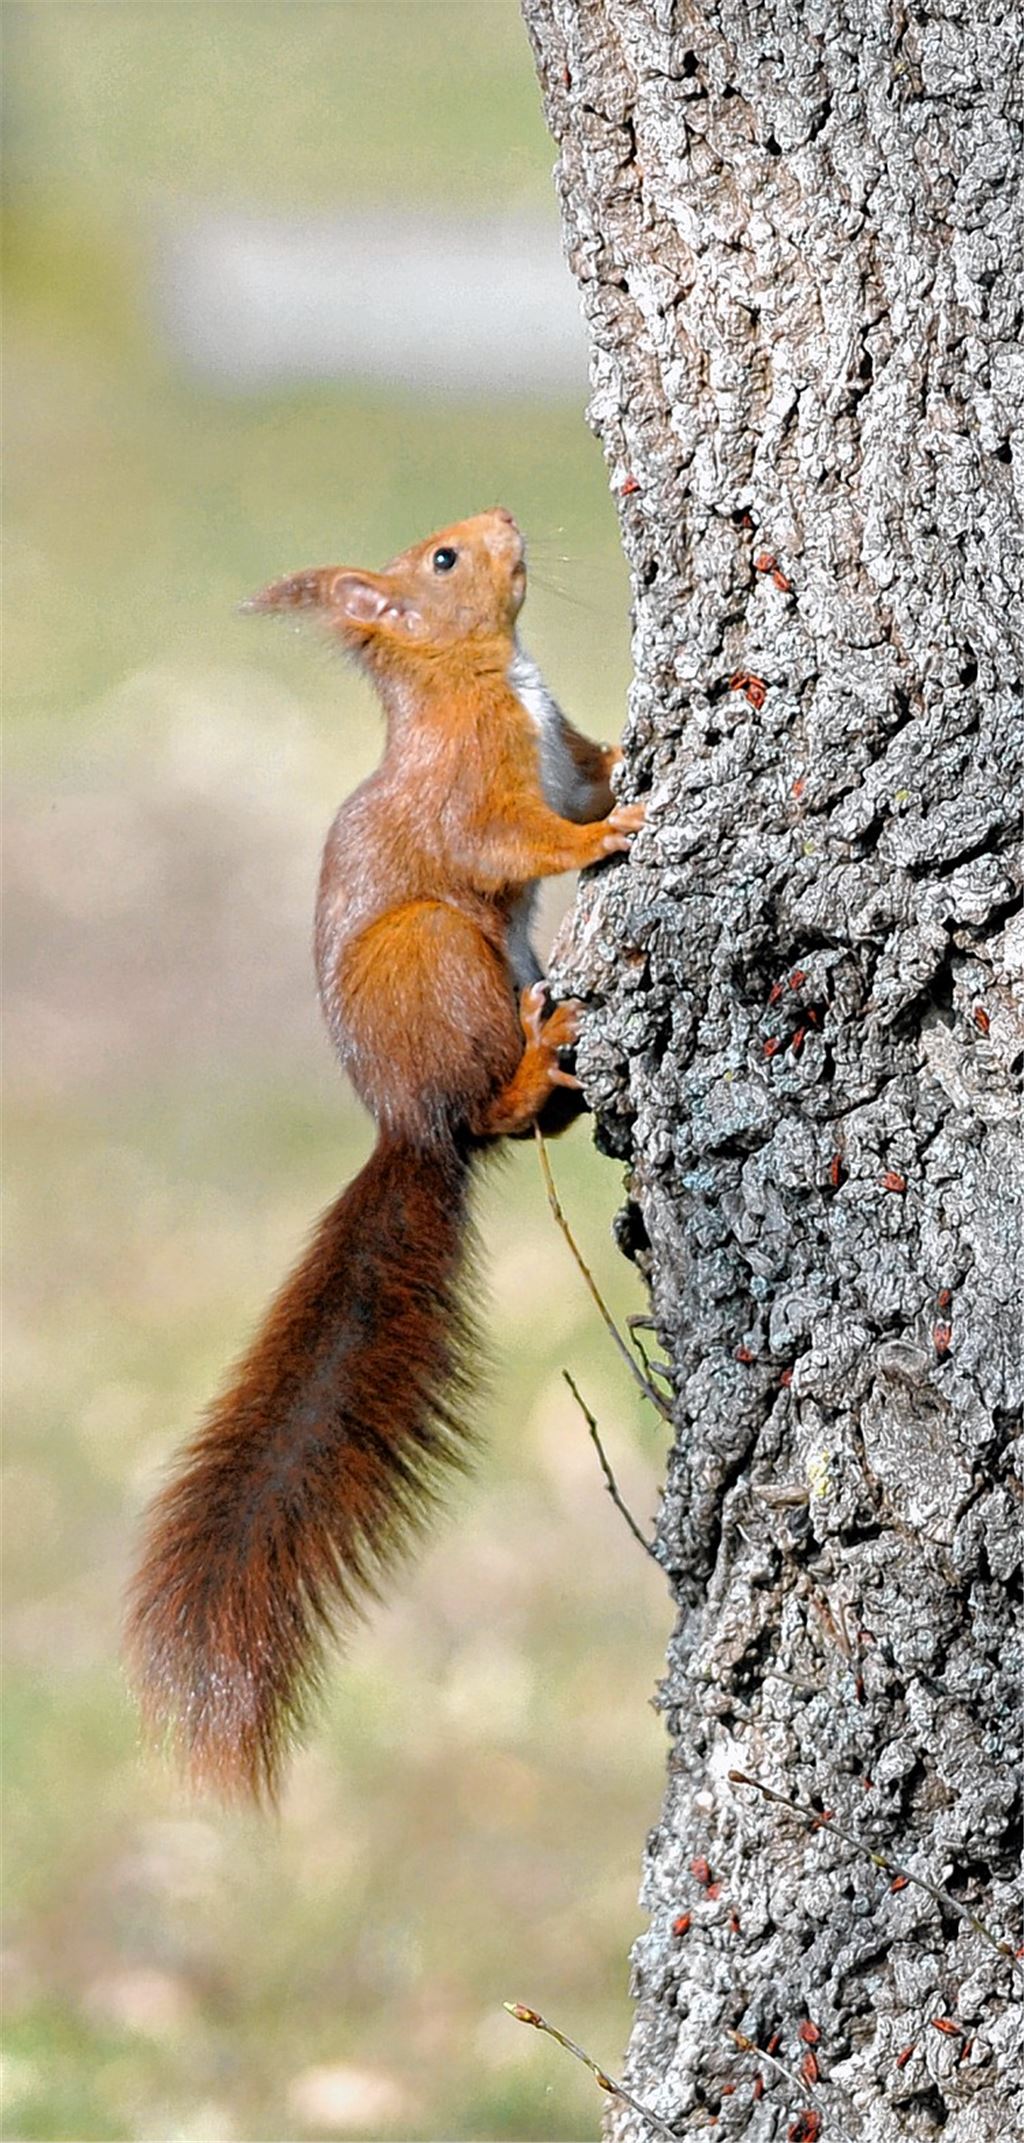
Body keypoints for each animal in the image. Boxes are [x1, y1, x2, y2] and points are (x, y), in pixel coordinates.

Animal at [126, 507, 643, 1802]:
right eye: (444, 561)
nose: (502, 517)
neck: (478, 677)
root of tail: (406, 1125)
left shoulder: (557, 742)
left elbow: (593, 761)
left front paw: (646, 756)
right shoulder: (478, 790)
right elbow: (520, 836)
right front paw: (614, 827)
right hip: (440, 956)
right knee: (491, 1111)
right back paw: (535, 1064)